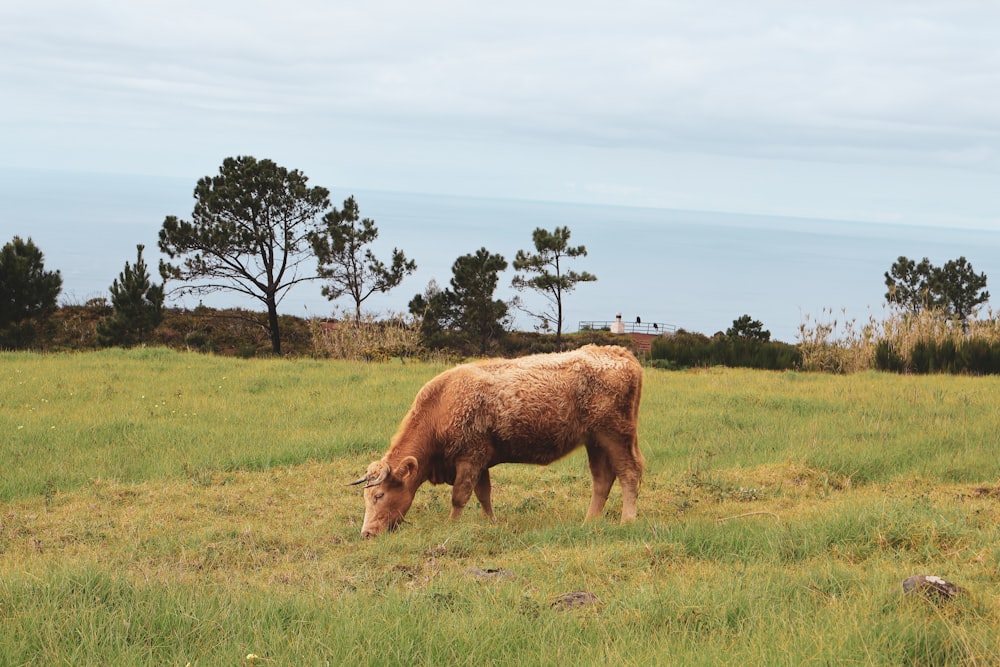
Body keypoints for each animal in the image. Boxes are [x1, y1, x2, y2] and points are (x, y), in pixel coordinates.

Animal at [352, 344, 644, 536]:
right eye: (366, 497)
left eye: (379, 494)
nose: (367, 533)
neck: (443, 403)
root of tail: (620, 353)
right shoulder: (480, 463)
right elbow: (484, 495)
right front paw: (491, 523)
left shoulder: (469, 459)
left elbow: (459, 496)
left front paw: (452, 525)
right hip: (595, 441)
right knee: (602, 480)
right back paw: (589, 522)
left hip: (615, 436)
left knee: (629, 473)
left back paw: (628, 521)